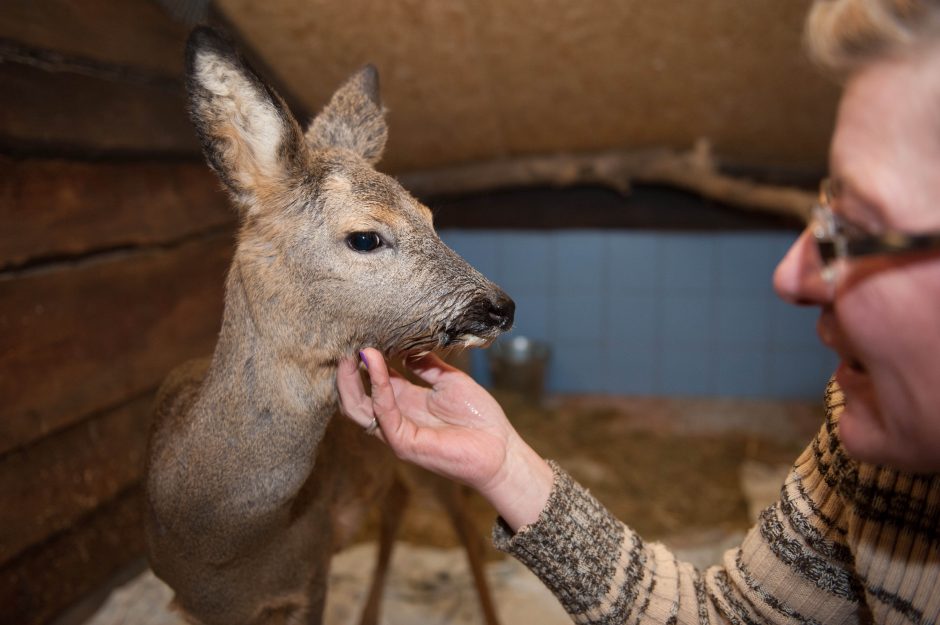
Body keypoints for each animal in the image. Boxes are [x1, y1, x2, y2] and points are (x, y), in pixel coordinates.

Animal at [144, 26, 516, 624]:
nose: (502, 306)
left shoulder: (311, 573)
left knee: (458, 515)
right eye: (365, 237)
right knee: (396, 503)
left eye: (431, 219)